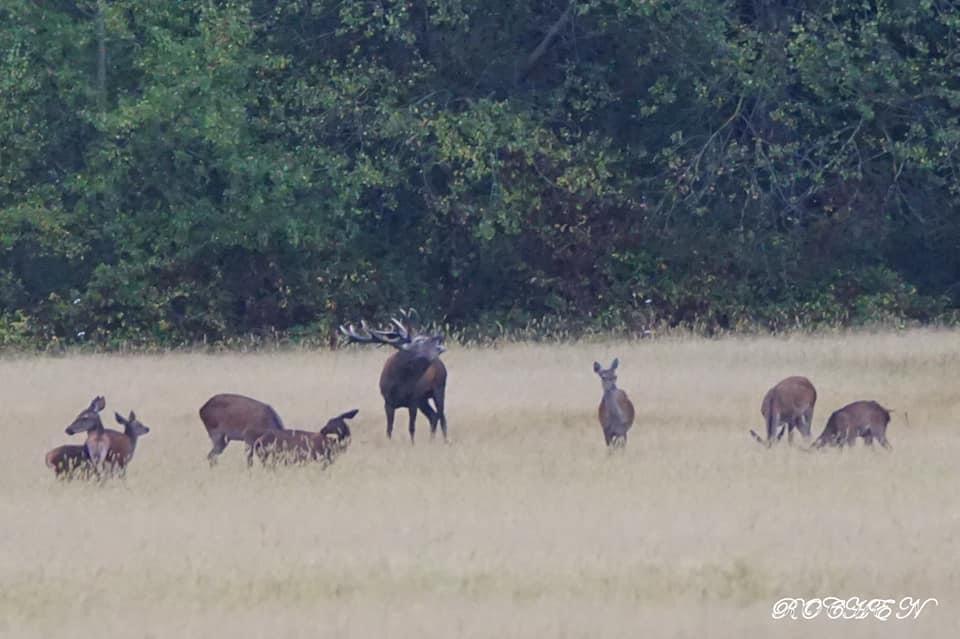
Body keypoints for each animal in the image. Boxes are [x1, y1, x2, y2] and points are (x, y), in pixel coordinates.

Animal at [342, 312, 450, 442]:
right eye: (420, 341)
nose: (440, 336)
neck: (401, 383)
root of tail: (442, 365)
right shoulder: (388, 402)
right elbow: (389, 429)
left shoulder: (413, 400)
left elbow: (411, 428)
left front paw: (412, 444)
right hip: (423, 399)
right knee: (434, 416)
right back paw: (431, 440)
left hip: (439, 388)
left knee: (442, 417)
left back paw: (445, 441)